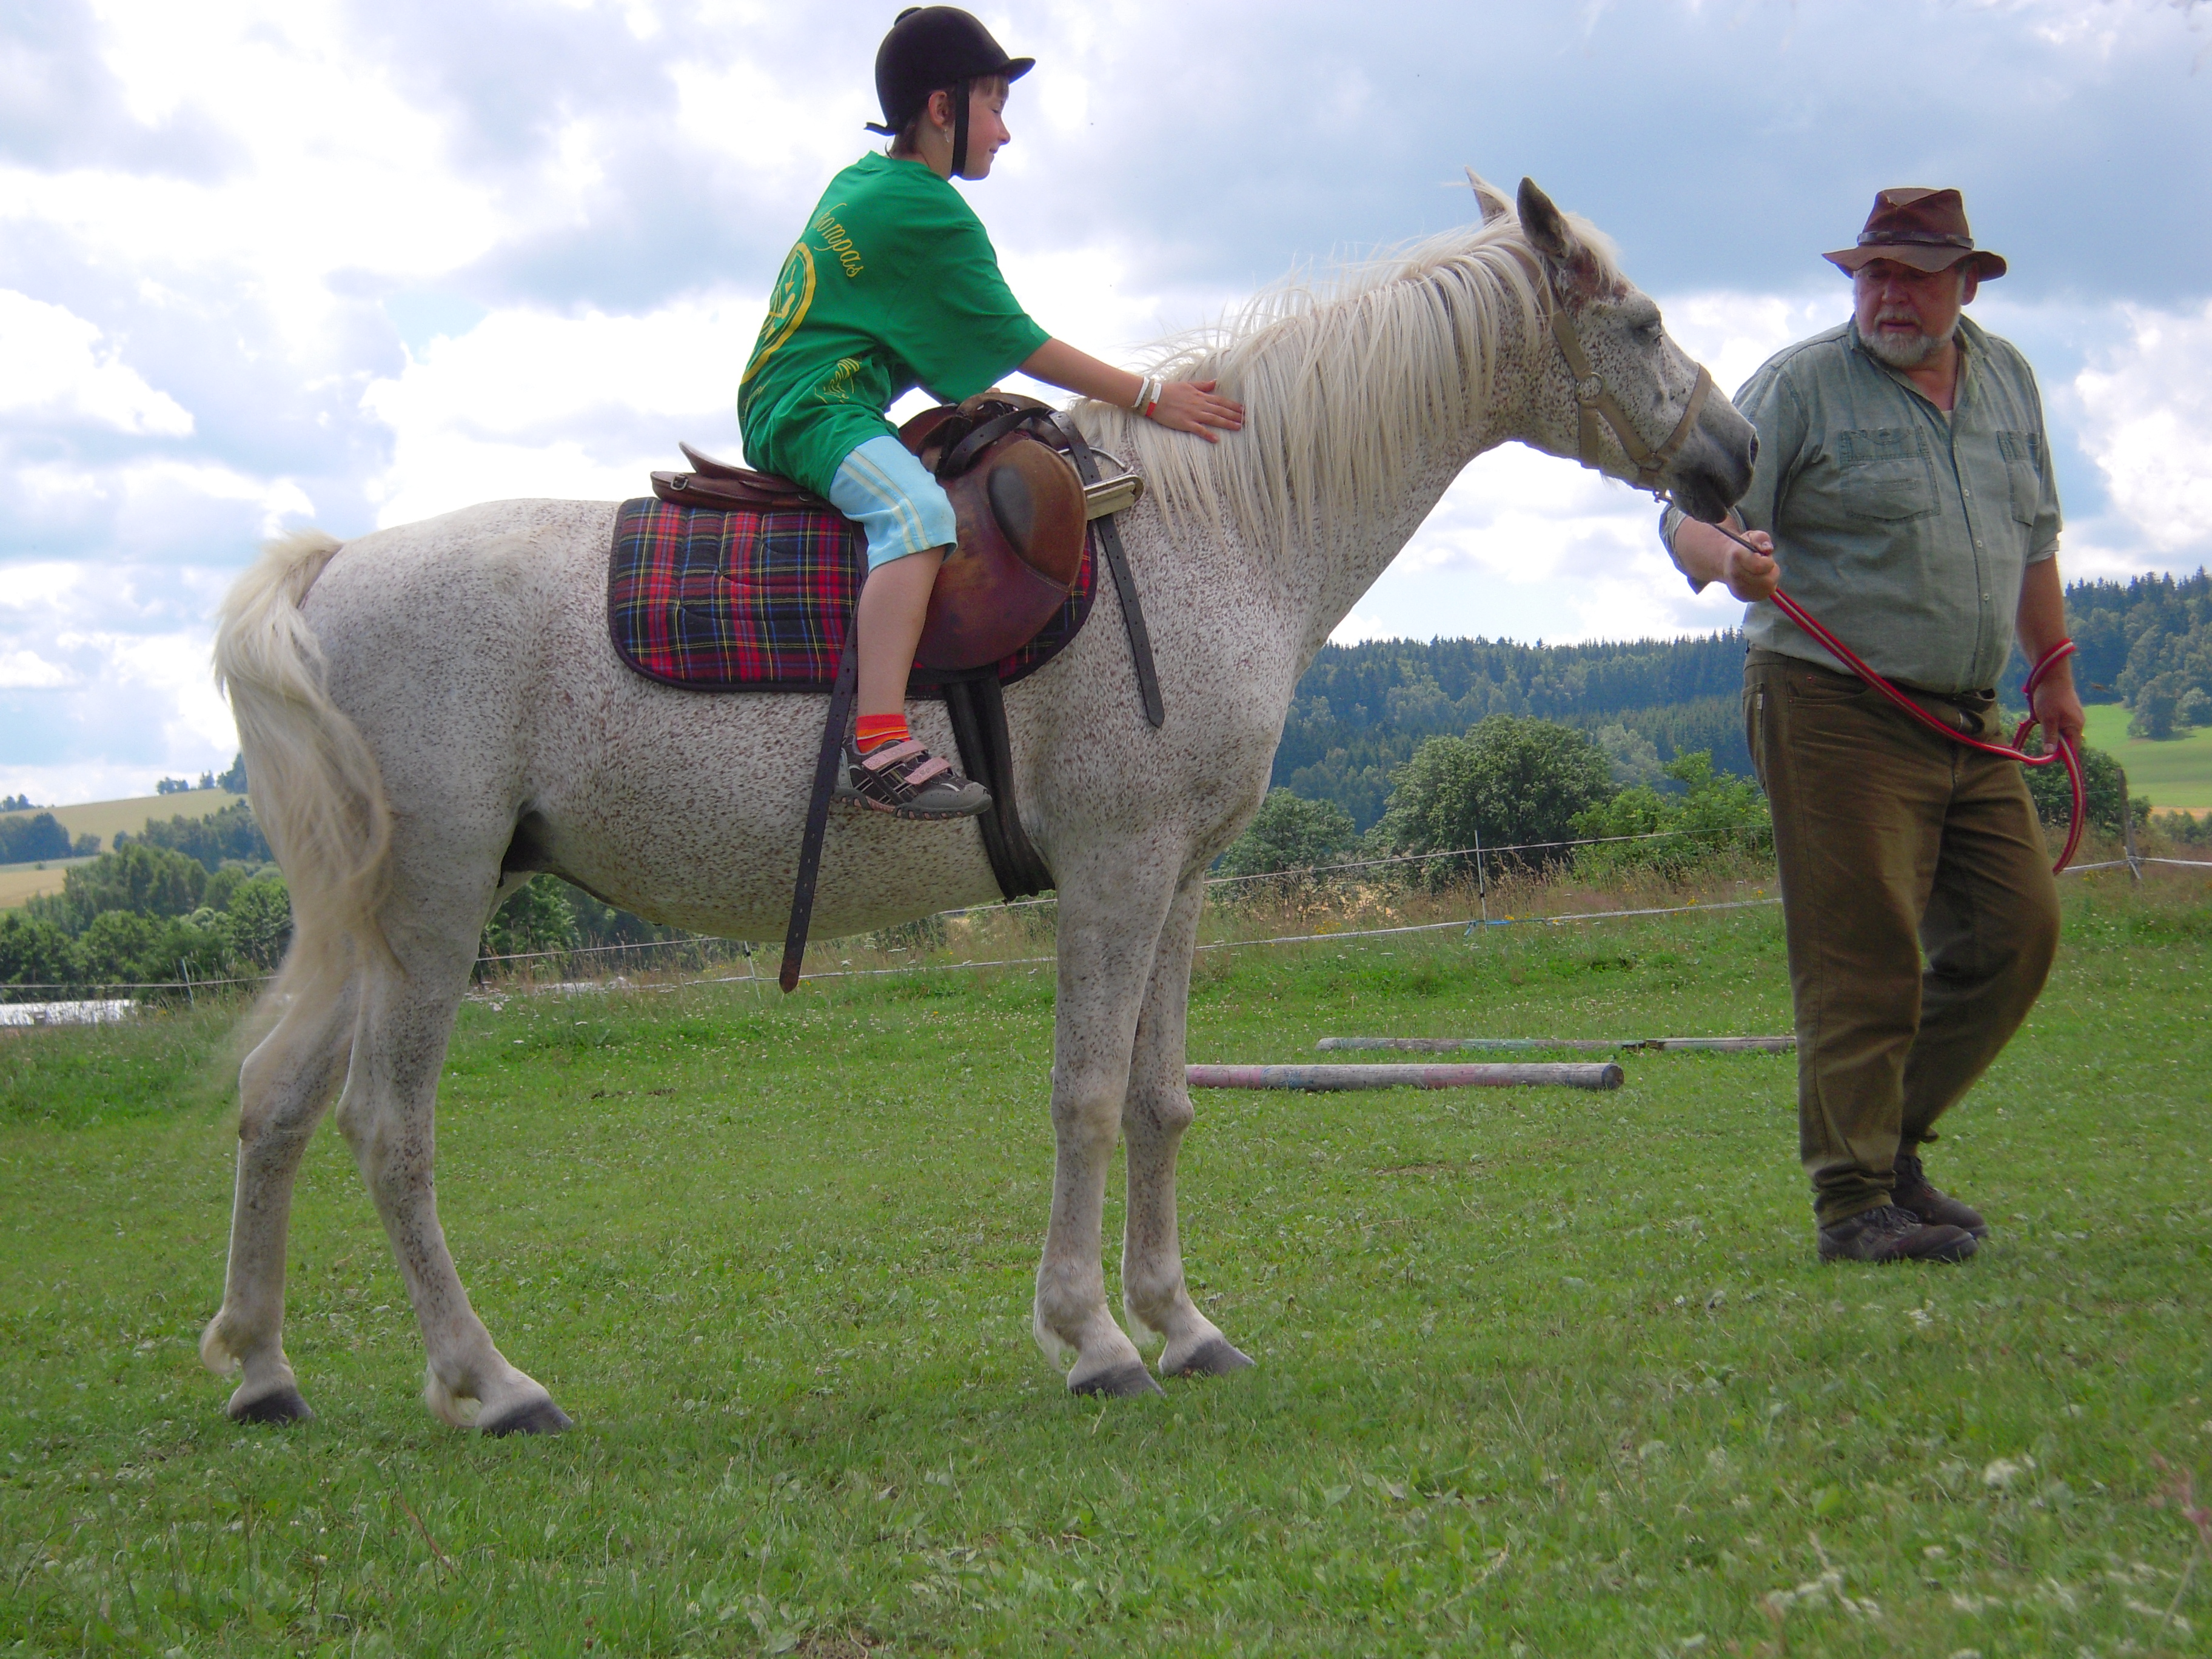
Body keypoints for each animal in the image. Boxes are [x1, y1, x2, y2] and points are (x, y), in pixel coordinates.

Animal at [200, 176, 1755, 1431]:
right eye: (1640, 320)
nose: (1734, 457)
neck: (1215, 527)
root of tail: (334, 570)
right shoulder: (1117, 867)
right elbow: (1085, 1096)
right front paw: (1094, 1338)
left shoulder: (1180, 876)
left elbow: (1161, 1099)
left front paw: (1182, 1322)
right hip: (437, 908)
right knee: (386, 1128)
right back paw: (491, 1380)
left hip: (382, 919)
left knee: (277, 1103)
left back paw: (265, 1369)